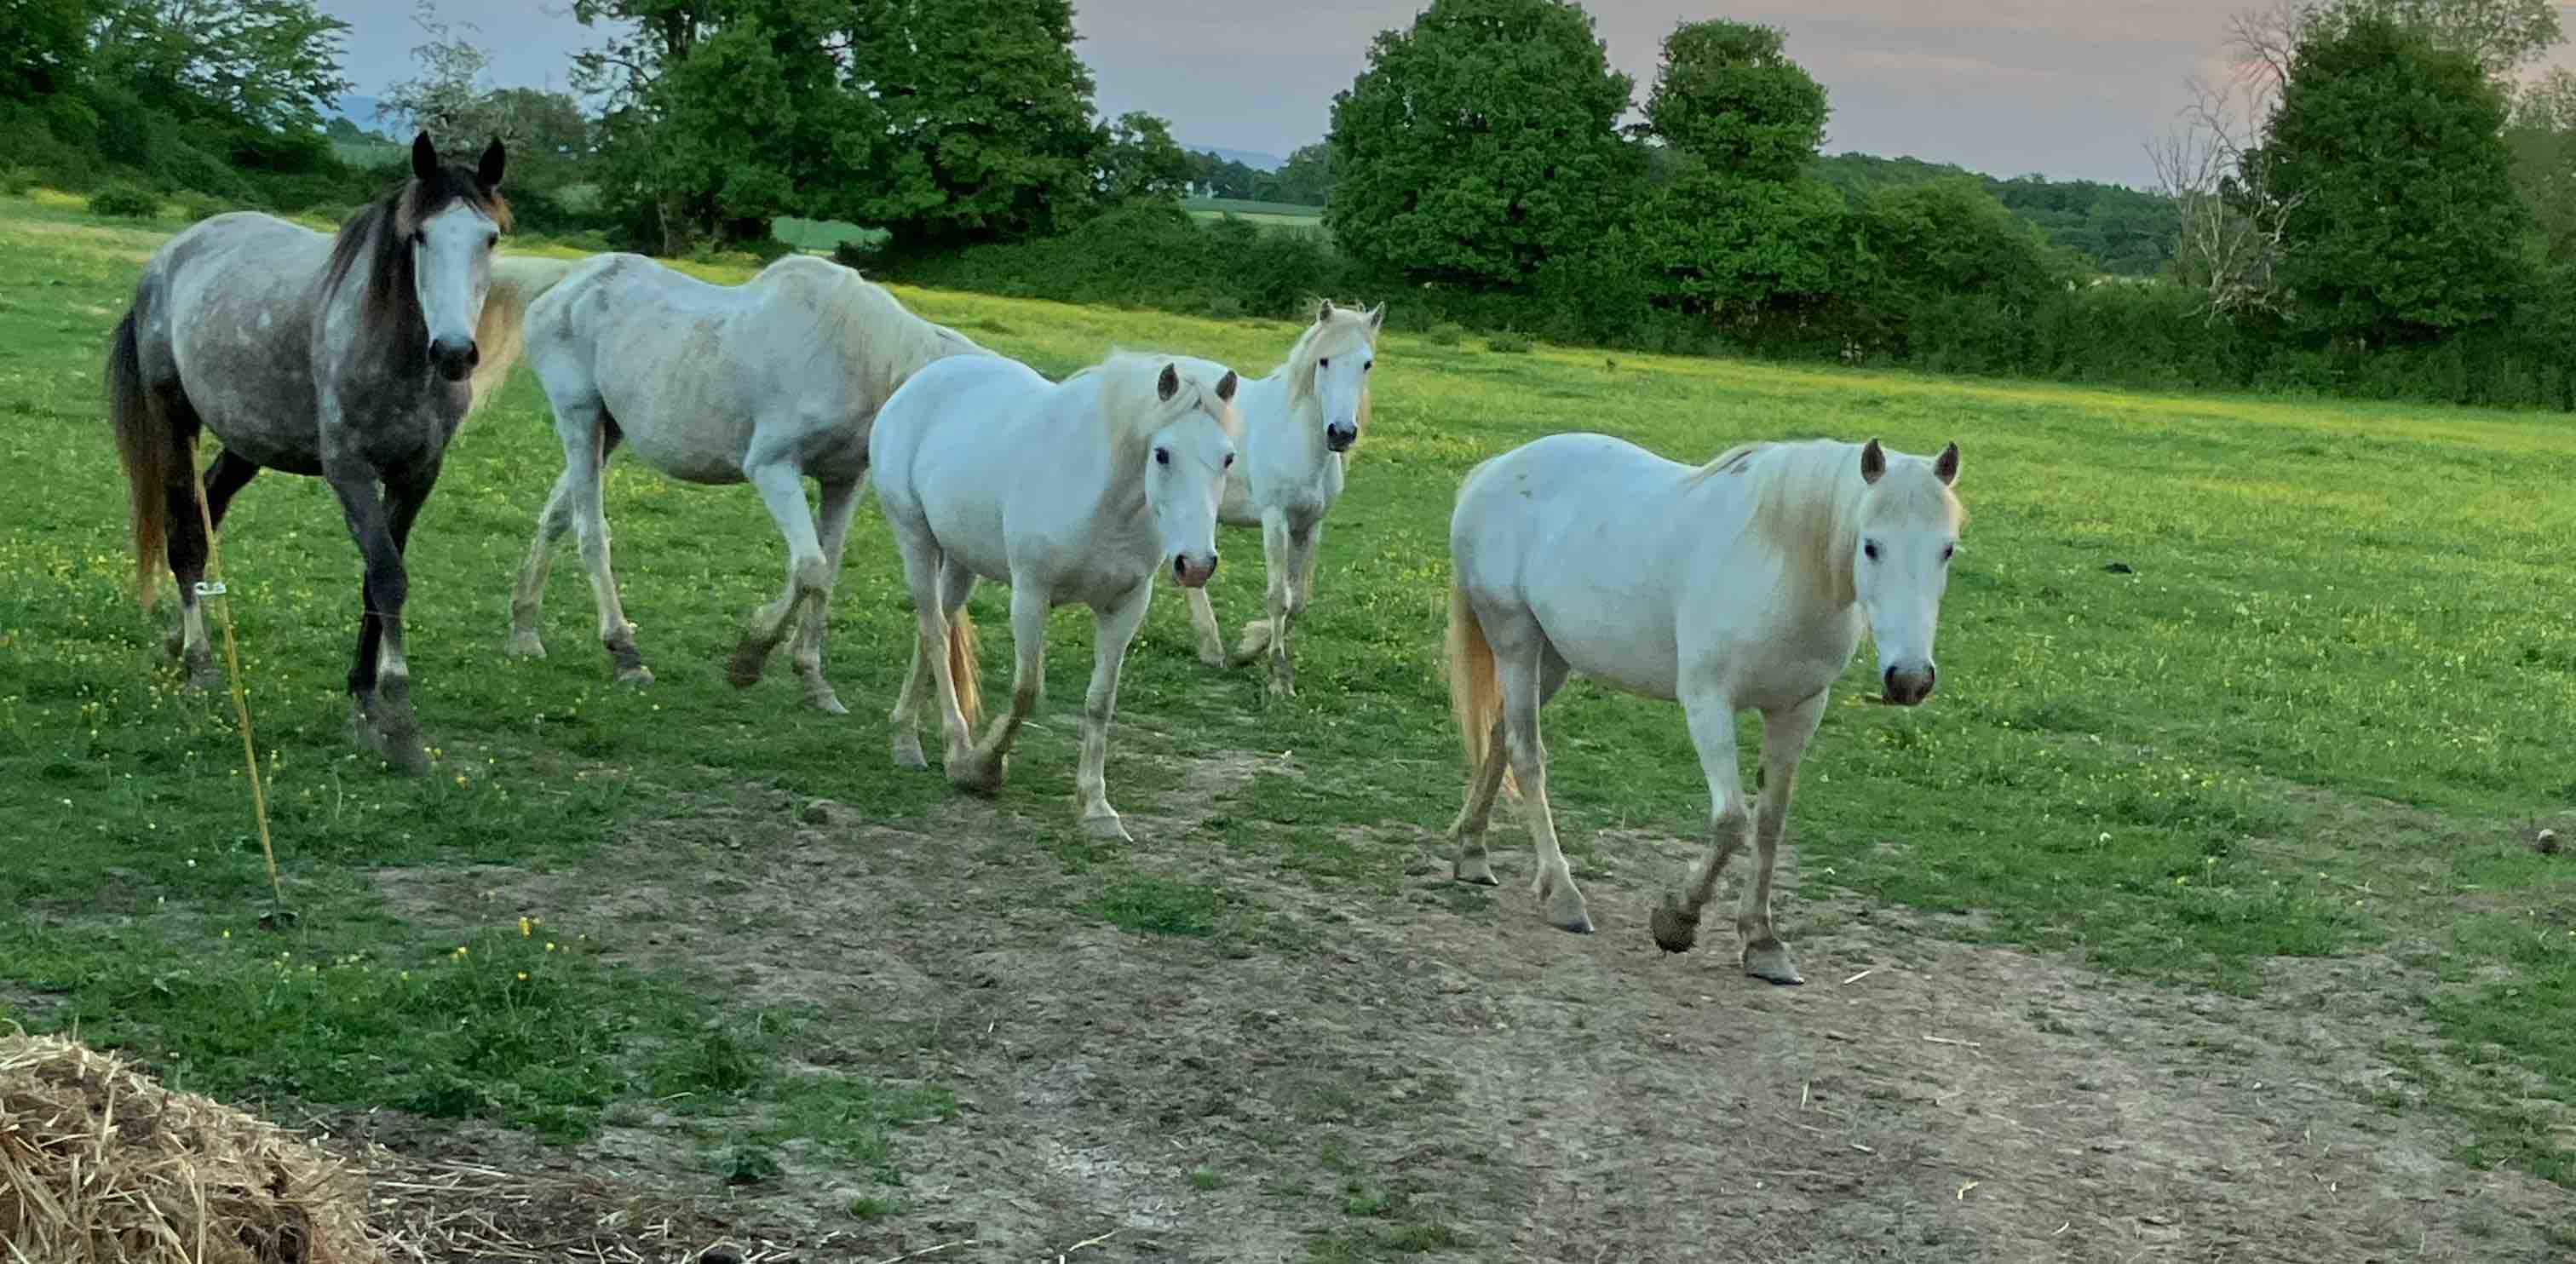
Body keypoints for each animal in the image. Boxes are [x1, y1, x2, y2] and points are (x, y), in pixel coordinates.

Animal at [105, 133, 548, 775]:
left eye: (489, 238)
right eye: (419, 236)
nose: (455, 353)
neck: (393, 351)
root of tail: (170, 255)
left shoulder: (417, 476)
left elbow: (375, 581)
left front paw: (363, 700)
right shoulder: (351, 473)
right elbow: (389, 577)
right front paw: (400, 718)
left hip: (246, 441)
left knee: (206, 515)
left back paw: (179, 641)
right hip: (174, 421)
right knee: (184, 531)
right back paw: (199, 661)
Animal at [504, 253, 988, 712]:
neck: (861, 356)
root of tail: (571, 279)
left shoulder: (843, 480)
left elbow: (825, 573)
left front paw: (812, 680)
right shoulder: (772, 467)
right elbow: (810, 569)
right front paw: (750, 657)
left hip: (609, 431)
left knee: (555, 517)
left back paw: (525, 632)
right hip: (580, 418)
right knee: (590, 534)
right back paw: (625, 654)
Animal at [870, 351, 1240, 841]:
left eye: (1228, 458)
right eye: (1162, 454)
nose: (1196, 564)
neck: (1104, 502)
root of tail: (920, 382)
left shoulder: (1125, 608)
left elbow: (1100, 702)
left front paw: (1097, 809)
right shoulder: (1031, 593)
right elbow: (1026, 689)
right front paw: (983, 769)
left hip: (961, 561)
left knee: (935, 631)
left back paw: (905, 738)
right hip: (915, 539)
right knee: (933, 632)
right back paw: (953, 747)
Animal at [1178, 299, 1382, 697]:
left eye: (1367, 363)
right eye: (1324, 361)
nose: (1341, 433)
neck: (1298, 437)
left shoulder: (1310, 525)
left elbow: (1298, 599)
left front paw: (1249, 647)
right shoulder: (1275, 519)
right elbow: (1278, 596)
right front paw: (1278, 674)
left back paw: (1211, 647)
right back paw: (1211, 646)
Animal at [1442, 435, 1964, 985]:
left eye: (1947, 549)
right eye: (1871, 546)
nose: (1909, 679)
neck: (1782, 565)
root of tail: (1494, 469)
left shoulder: (1798, 710)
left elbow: (1769, 823)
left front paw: (1762, 941)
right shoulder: (1708, 701)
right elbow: (1732, 821)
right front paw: (1677, 919)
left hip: (1554, 658)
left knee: (1500, 734)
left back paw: (1473, 851)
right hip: (1517, 643)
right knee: (1527, 755)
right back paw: (1563, 895)